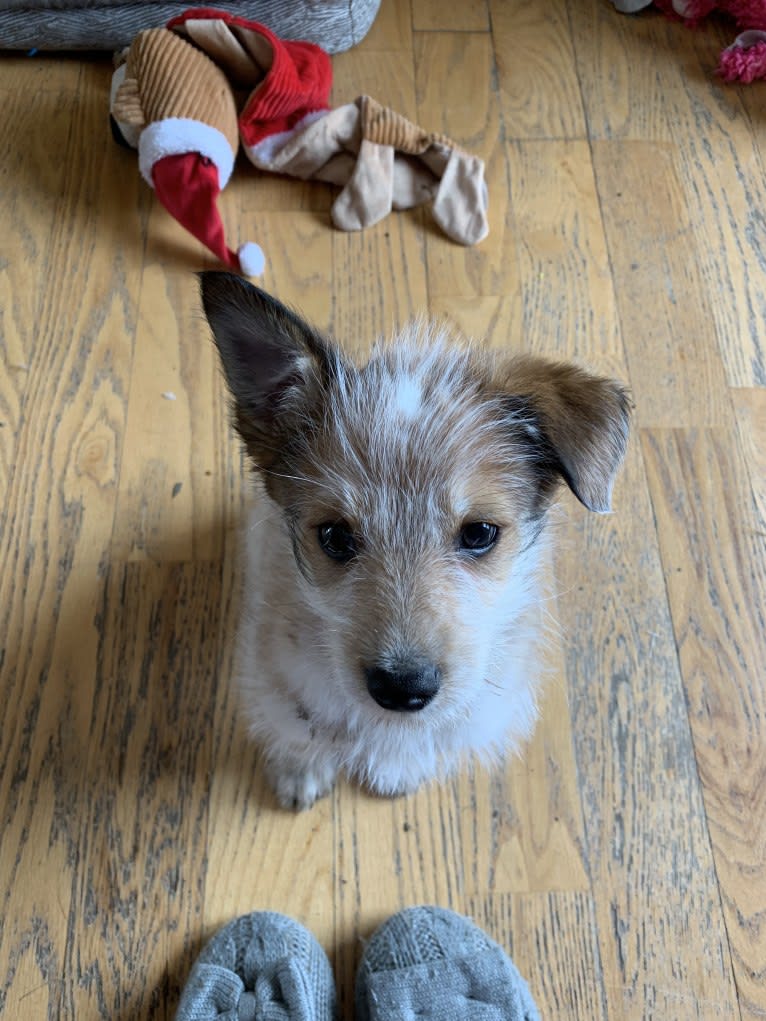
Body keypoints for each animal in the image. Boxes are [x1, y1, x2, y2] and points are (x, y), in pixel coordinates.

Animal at [201, 269, 633, 804]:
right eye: (335, 536)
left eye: (480, 532)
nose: (402, 689)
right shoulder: (276, 675)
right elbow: (297, 729)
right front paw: (299, 771)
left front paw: (398, 769)